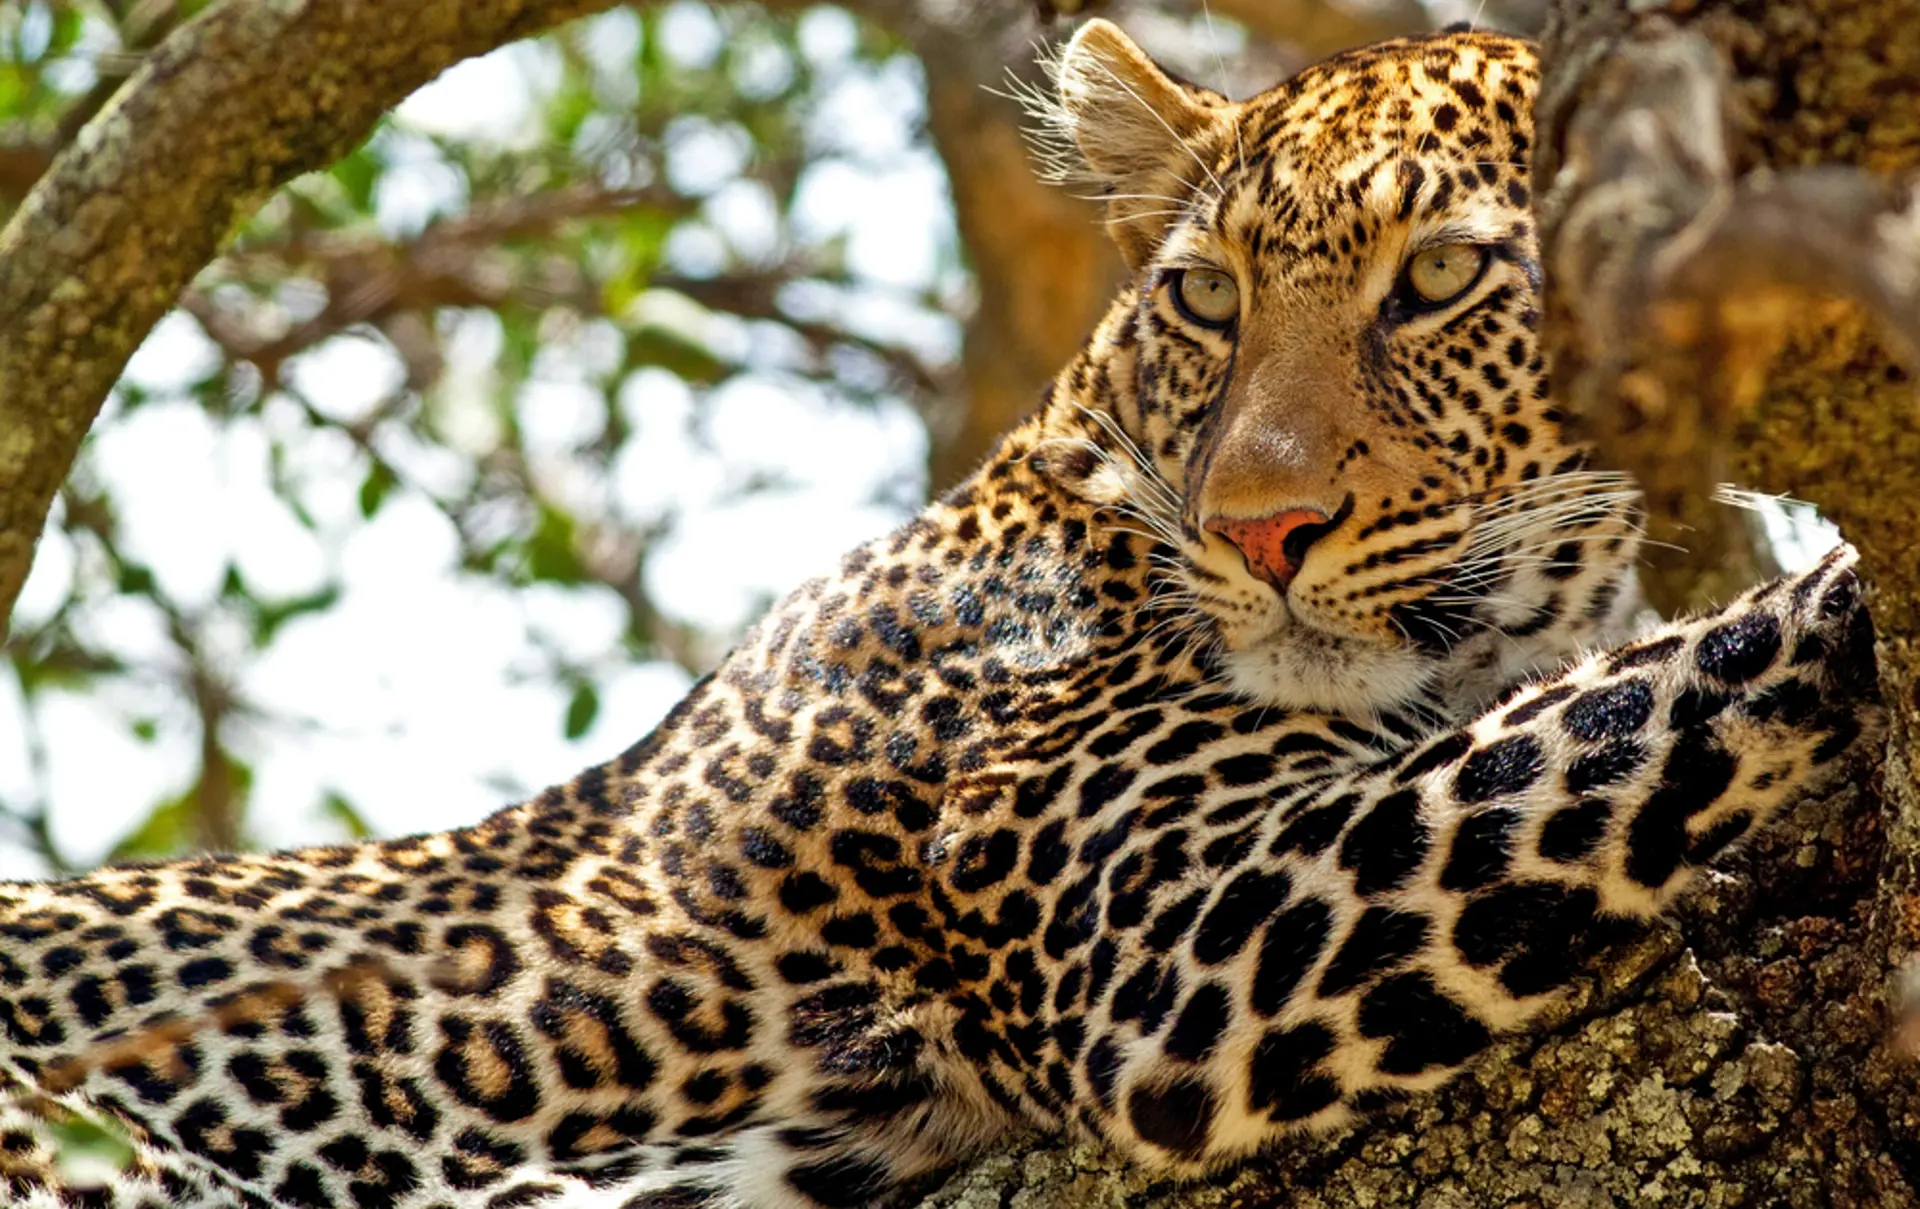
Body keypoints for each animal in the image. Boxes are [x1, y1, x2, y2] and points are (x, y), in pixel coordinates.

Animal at [0, 19, 1884, 1209]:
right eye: (1209, 298)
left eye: (1437, 281)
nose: (1259, 528)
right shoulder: (1182, 937)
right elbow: (1625, 709)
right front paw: (1841, 598)